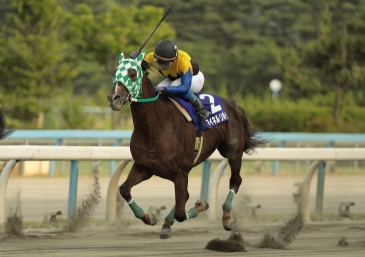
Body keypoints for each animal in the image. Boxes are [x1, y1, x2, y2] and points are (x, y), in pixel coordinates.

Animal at [106, 51, 266, 238]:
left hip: (233, 151)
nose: (113, 98)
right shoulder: (144, 167)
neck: (156, 127)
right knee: (185, 196)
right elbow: (124, 189)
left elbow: (181, 213)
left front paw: (202, 205)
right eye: (115, 72)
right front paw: (150, 217)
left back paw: (227, 217)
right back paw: (167, 223)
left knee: (235, 180)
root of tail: (231, 105)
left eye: (132, 74)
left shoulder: (180, 171)